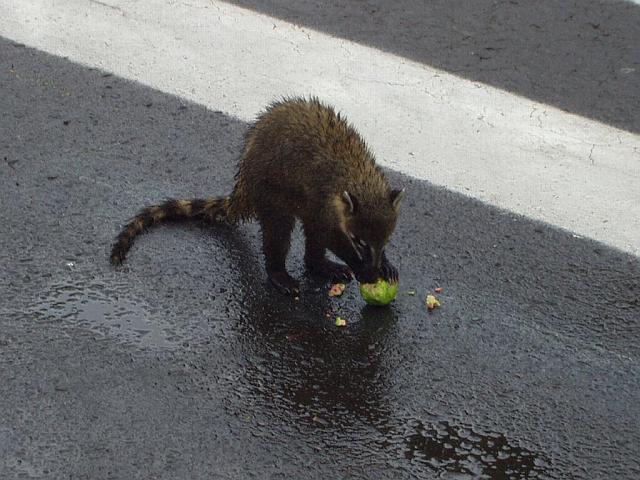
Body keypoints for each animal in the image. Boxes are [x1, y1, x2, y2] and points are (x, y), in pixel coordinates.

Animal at [110, 97, 404, 296]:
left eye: (385, 240)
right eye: (359, 241)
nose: (373, 271)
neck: (359, 176)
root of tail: (243, 185)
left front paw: (384, 263)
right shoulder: (323, 199)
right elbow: (328, 234)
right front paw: (360, 266)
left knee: (309, 235)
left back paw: (318, 264)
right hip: (271, 192)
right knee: (279, 231)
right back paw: (278, 271)